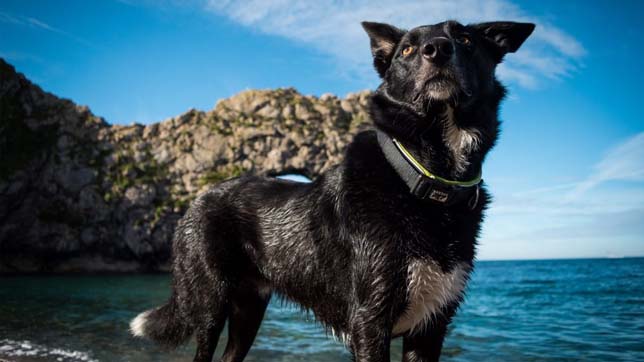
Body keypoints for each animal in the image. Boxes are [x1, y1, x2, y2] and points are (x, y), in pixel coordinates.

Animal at [131, 19, 532, 362]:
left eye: (464, 39)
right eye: (407, 49)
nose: (437, 50)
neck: (424, 178)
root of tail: (196, 202)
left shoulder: (430, 328)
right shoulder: (370, 322)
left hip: (248, 311)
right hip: (209, 305)